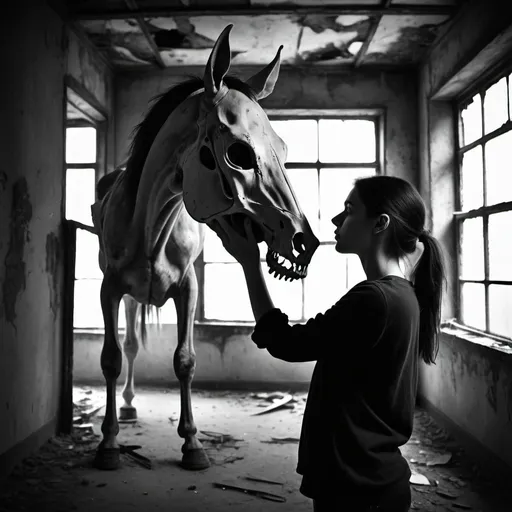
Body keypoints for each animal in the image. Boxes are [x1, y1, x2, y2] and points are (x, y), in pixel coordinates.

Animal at [90, 25, 318, 472]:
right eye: (240, 153)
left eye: (283, 149)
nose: (307, 243)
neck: (151, 226)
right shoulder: (109, 290)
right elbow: (110, 358)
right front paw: (108, 443)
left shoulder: (188, 289)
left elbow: (185, 361)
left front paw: (193, 443)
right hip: (127, 298)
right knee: (129, 345)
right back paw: (127, 405)